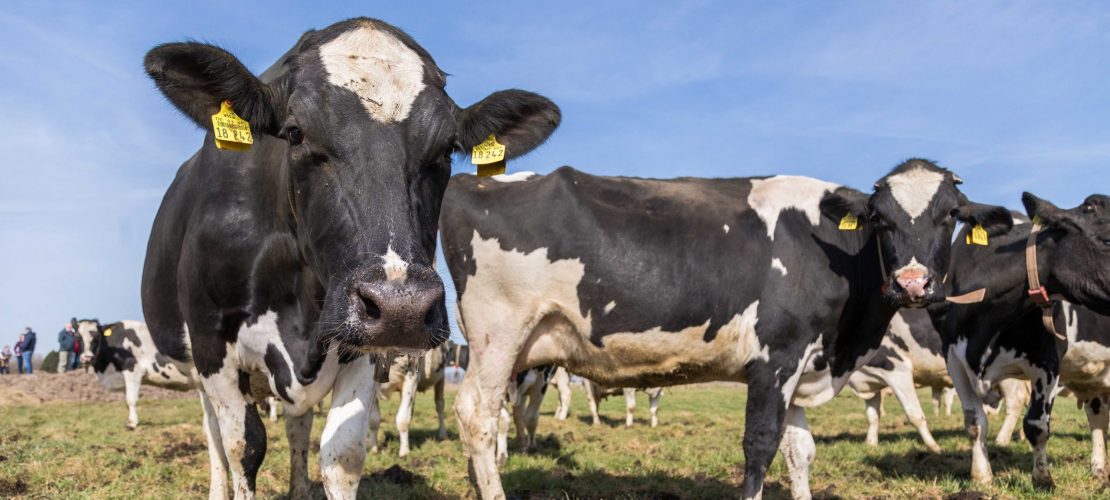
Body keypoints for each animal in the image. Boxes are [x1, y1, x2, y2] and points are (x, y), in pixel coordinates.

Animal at [140, 17, 559, 499]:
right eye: (295, 132)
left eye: (446, 149)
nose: (402, 306)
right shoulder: (213, 340)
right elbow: (242, 446)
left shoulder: (360, 344)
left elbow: (342, 454)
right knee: (213, 433)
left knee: (299, 424)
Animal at [442, 159, 1012, 499]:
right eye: (881, 219)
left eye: (950, 215)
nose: (913, 283)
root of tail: (475, 179)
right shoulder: (776, 356)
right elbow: (760, 445)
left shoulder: (801, 368)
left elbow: (800, 450)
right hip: (499, 333)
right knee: (477, 415)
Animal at [938, 193, 1110, 489]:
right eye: (1108, 241)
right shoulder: (953, 359)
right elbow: (974, 422)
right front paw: (981, 476)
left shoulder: (1048, 360)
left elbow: (1036, 425)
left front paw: (1042, 479)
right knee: (1097, 416)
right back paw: (1099, 469)